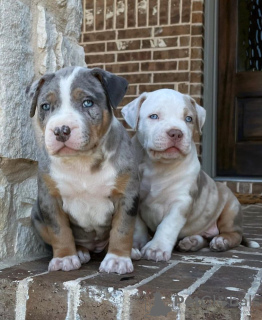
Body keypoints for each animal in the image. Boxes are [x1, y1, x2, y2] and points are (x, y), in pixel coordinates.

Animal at [122, 89, 258, 262]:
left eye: (188, 119)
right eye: (153, 116)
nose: (175, 133)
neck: (159, 167)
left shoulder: (181, 202)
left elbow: (167, 225)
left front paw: (156, 249)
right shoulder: (135, 197)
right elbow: (138, 227)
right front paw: (136, 245)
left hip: (230, 209)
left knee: (234, 235)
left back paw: (221, 241)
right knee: (204, 238)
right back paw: (191, 242)